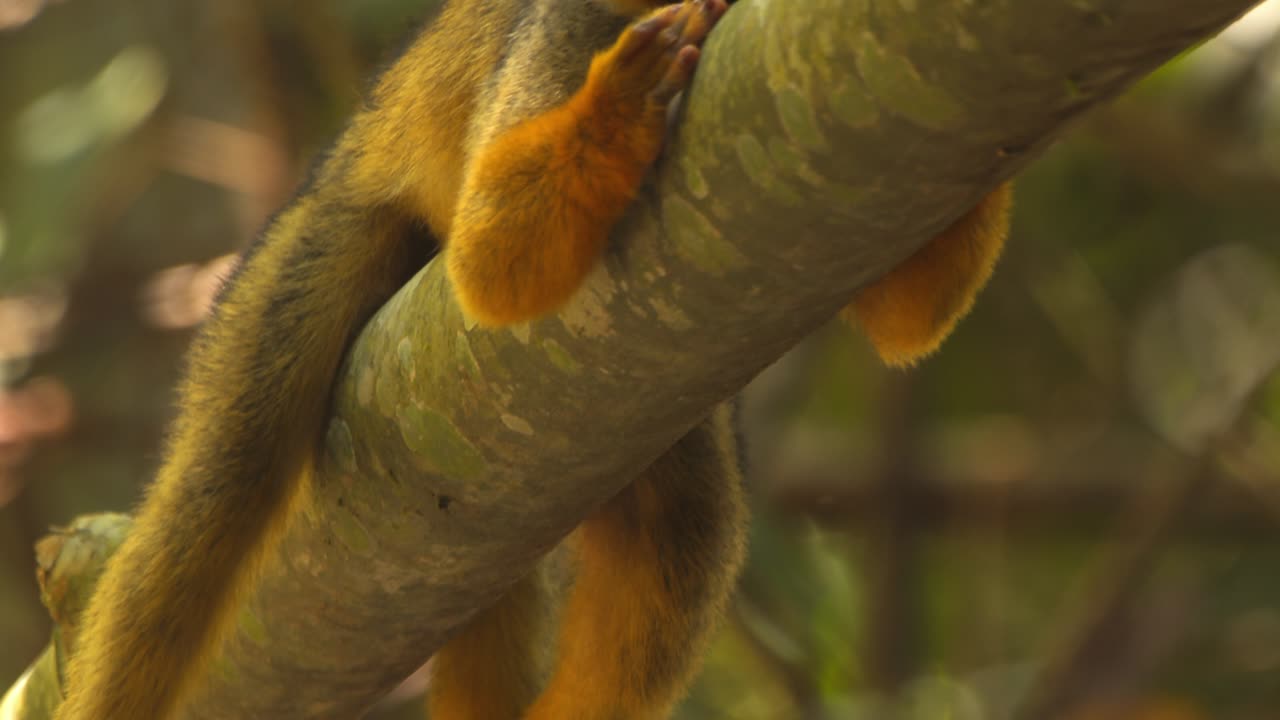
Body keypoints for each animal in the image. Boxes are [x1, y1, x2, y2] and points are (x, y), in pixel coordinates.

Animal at [54, 0, 1011, 717]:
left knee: (688, 527)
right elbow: (494, 256)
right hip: (310, 246)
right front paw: (617, 107)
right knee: (221, 490)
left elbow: (903, 316)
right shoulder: (570, 21)